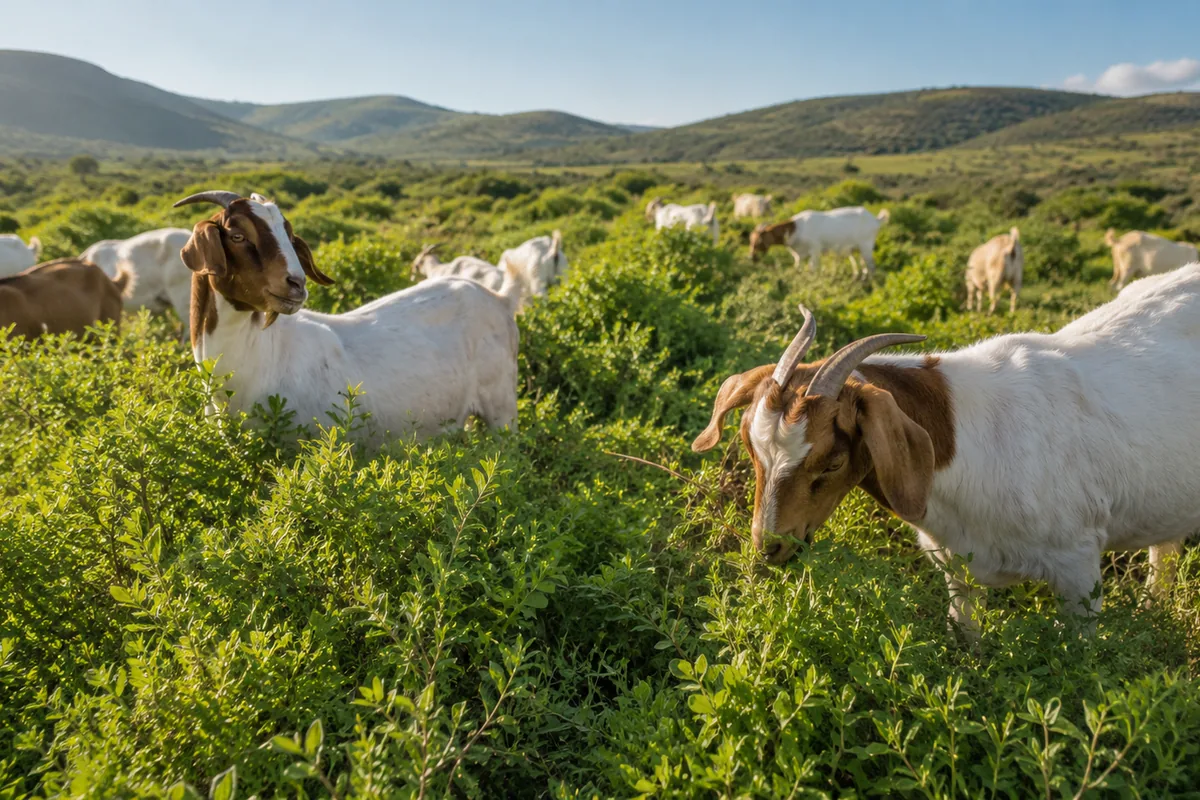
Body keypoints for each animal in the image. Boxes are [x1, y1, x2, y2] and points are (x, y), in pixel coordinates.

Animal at [694, 270, 1200, 635]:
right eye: (752, 451)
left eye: (832, 461)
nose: (769, 547)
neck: (965, 441)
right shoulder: (957, 567)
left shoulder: (1078, 569)